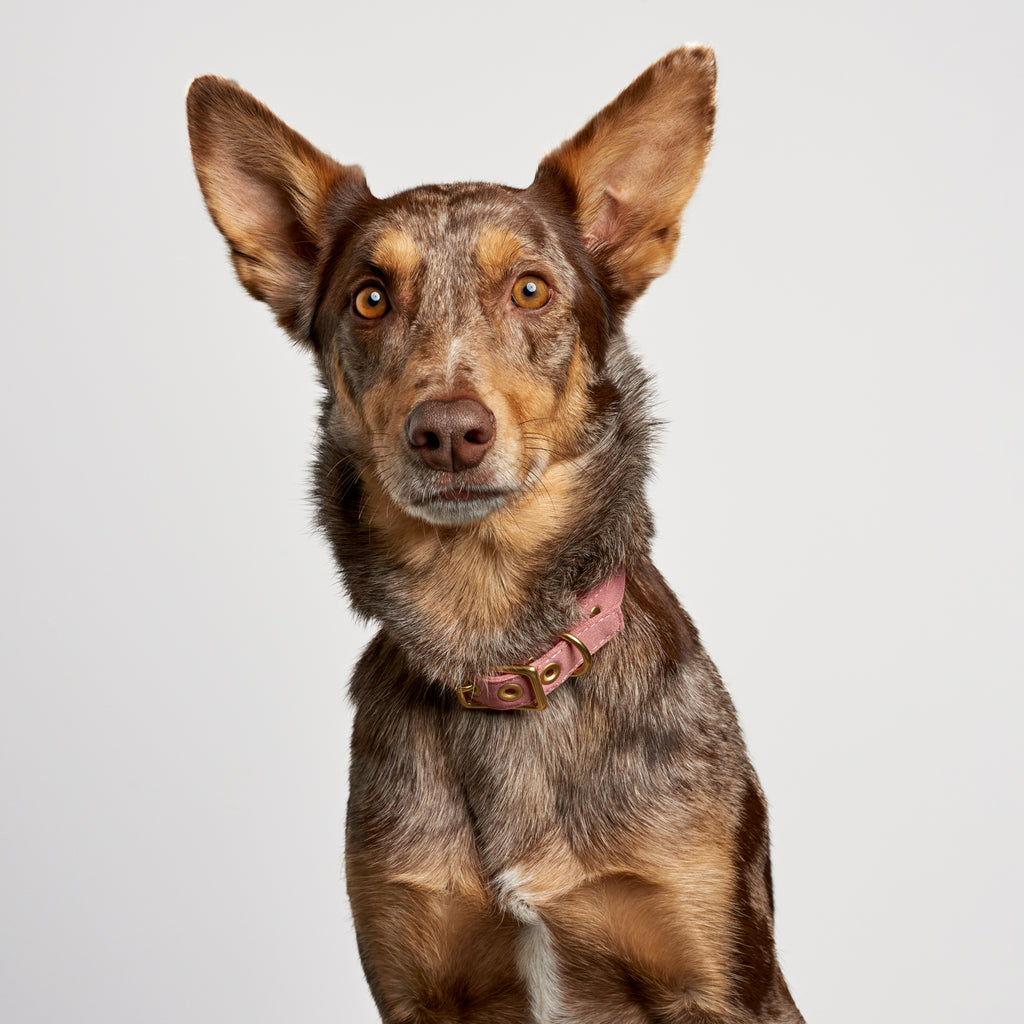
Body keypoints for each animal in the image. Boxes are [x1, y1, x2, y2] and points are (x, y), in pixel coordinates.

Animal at [188, 46, 802, 1024]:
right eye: (369, 299)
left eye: (530, 289)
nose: (447, 432)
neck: (493, 644)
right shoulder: (416, 975)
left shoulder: (712, 976)